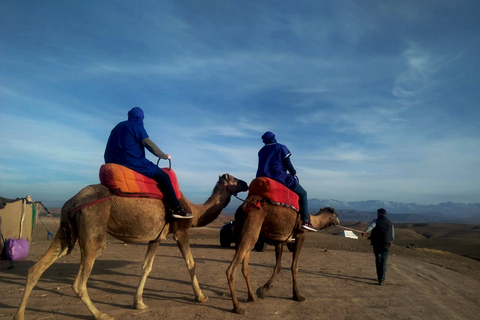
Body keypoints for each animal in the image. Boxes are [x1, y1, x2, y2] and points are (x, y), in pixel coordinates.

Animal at [15, 175, 248, 320]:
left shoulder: (156, 238)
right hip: (93, 232)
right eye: (234, 178)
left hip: (64, 234)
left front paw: (139, 303)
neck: (194, 210)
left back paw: (20, 315)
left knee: (36, 269)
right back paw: (101, 314)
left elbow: (146, 267)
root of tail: (69, 203)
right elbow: (191, 264)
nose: (246, 183)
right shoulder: (181, 232)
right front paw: (201, 297)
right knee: (79, 282)